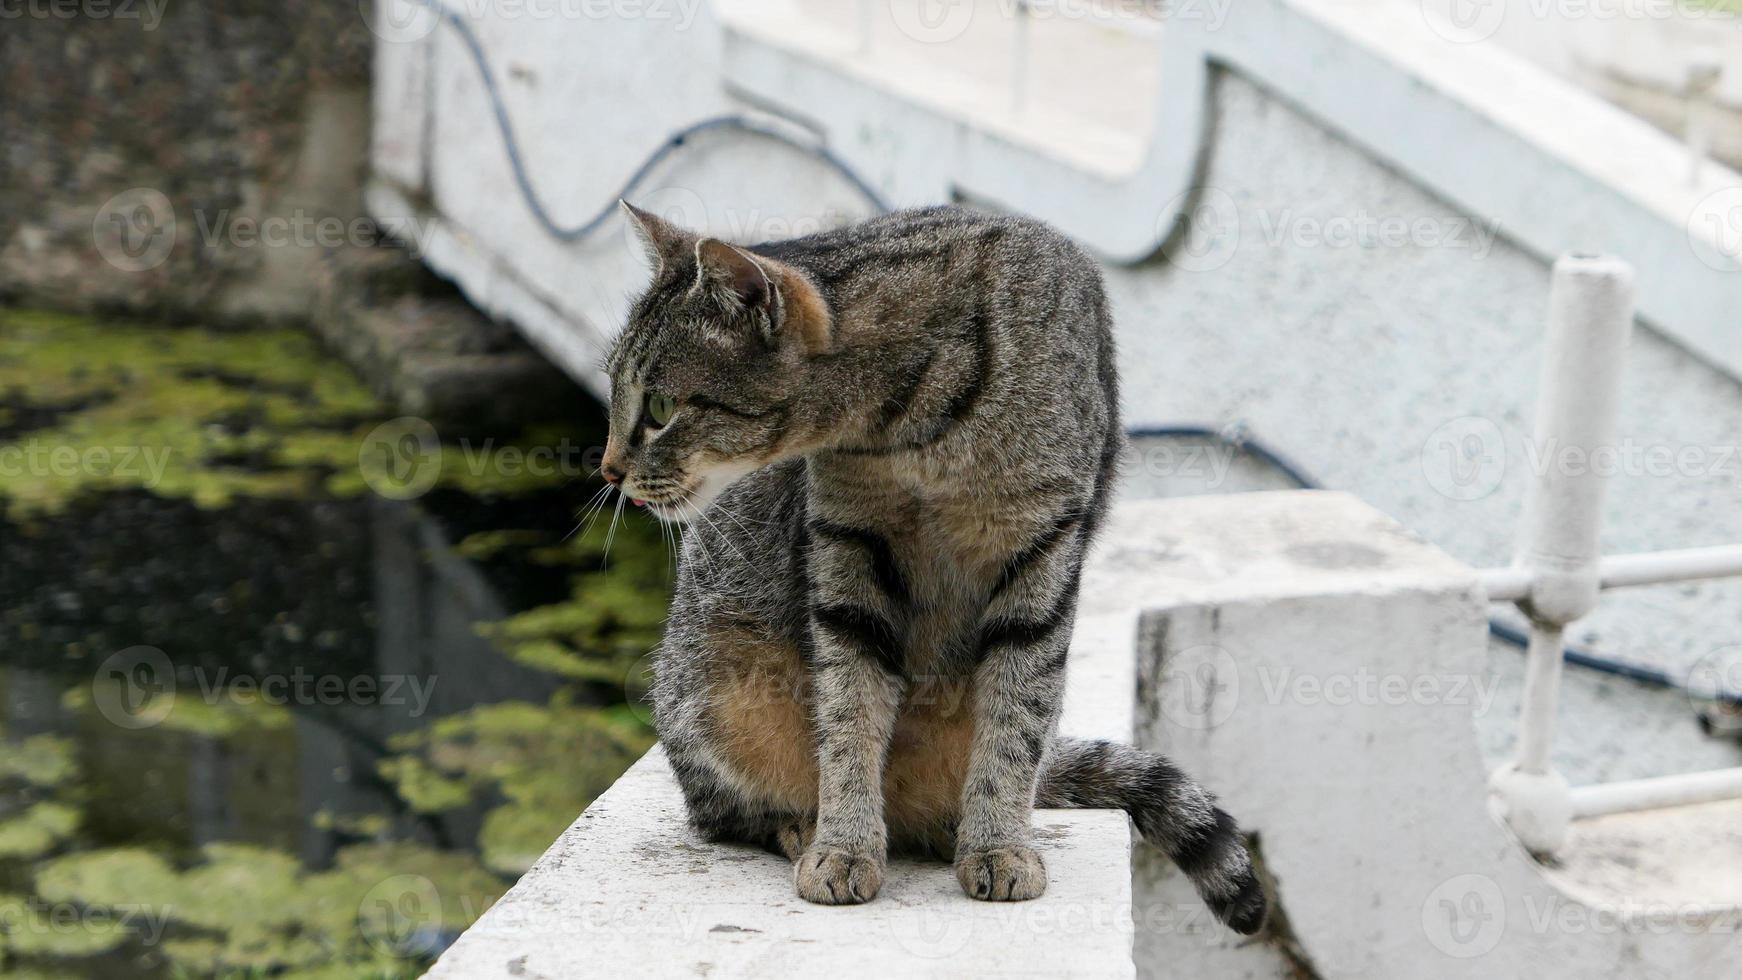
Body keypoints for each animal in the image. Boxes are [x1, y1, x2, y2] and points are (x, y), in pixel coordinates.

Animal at [599, 203, 1268, 933]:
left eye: (660, 409)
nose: (607, 471)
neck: (913, 432)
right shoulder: (848, 551)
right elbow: (849, 714)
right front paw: (845, 843)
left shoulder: (1043, 552)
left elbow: (1015, 720)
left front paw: (998, 841)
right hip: (715, 688)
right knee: (724, 810)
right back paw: (805, 825)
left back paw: (960, 827)